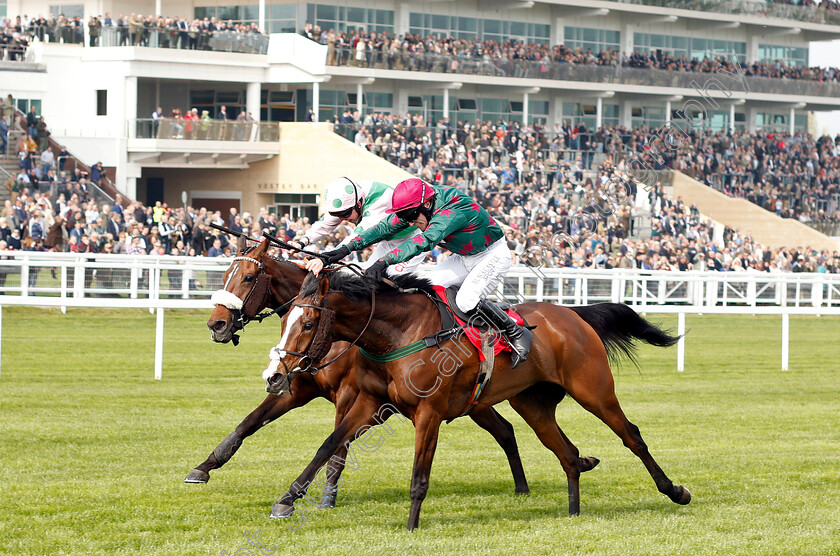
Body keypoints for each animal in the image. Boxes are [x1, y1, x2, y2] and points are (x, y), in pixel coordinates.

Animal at [188, 237, 536, 506]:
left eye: (248, 278)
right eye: (224, 276)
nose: (217, 325)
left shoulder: (353, 395)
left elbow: (337, 445)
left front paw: (326, 496)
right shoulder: (297, 387)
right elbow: (249, 422)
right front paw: (205, 466)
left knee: (505, 430)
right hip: (474, 403)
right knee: (506, 430)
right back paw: (521, 487)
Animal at [268, 272, 688, 528]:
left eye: (308, 323)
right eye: (284, 320)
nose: (276, 375)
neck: (400, 334)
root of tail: (572, 314)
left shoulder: (429, 412)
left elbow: (419, 474)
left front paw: (411, 525)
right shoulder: (368, 403)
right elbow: (330, 444)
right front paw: (286, 500)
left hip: (594, 391)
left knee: (631, 435)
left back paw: (675, 491)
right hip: (533, 405)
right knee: (568, 453)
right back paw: (573, 511)